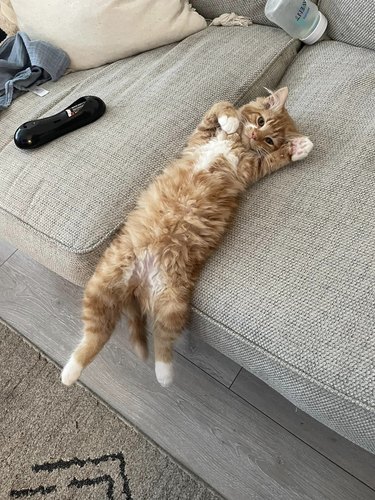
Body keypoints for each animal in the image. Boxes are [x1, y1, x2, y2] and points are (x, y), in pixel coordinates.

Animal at [61, 88, 314, 386]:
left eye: (270, 139)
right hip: (106, 281)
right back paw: (70, 372)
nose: (254, 135)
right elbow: (221, 105)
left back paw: (162, 375)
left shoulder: (252, 168)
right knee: (96, 334)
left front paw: (297, 148)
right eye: (261, 121)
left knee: (158, 338)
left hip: (173, 302)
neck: (238, 144)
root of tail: (139, 283)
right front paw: (231, 120)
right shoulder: (201, 134)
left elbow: (273, 159)